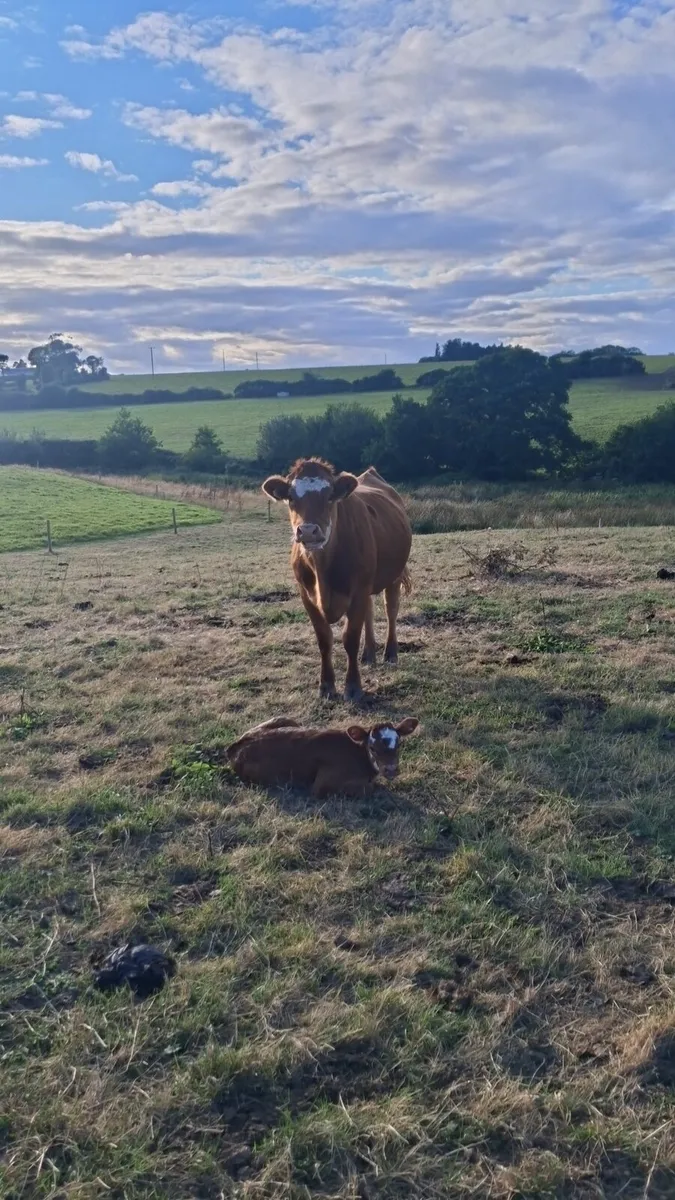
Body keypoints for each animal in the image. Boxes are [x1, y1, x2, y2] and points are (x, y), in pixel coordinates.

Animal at [227, 715, 420, 798]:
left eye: (399, 744)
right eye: (372, 748)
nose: (391, 770)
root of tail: (235, 746)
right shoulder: (322, 784)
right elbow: (369, 788)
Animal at [262, 459, 412, 701]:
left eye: (330, 496)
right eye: (291, 497)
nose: (308, 531)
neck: (323, 571)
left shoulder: (359, 590)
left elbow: (350, 637)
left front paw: (353, 687)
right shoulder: (306, 596)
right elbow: (324, 639)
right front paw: (326, 686)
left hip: (393, 576)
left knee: (391, 609)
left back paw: (390, 654)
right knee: (370, 612)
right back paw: (369, 654)